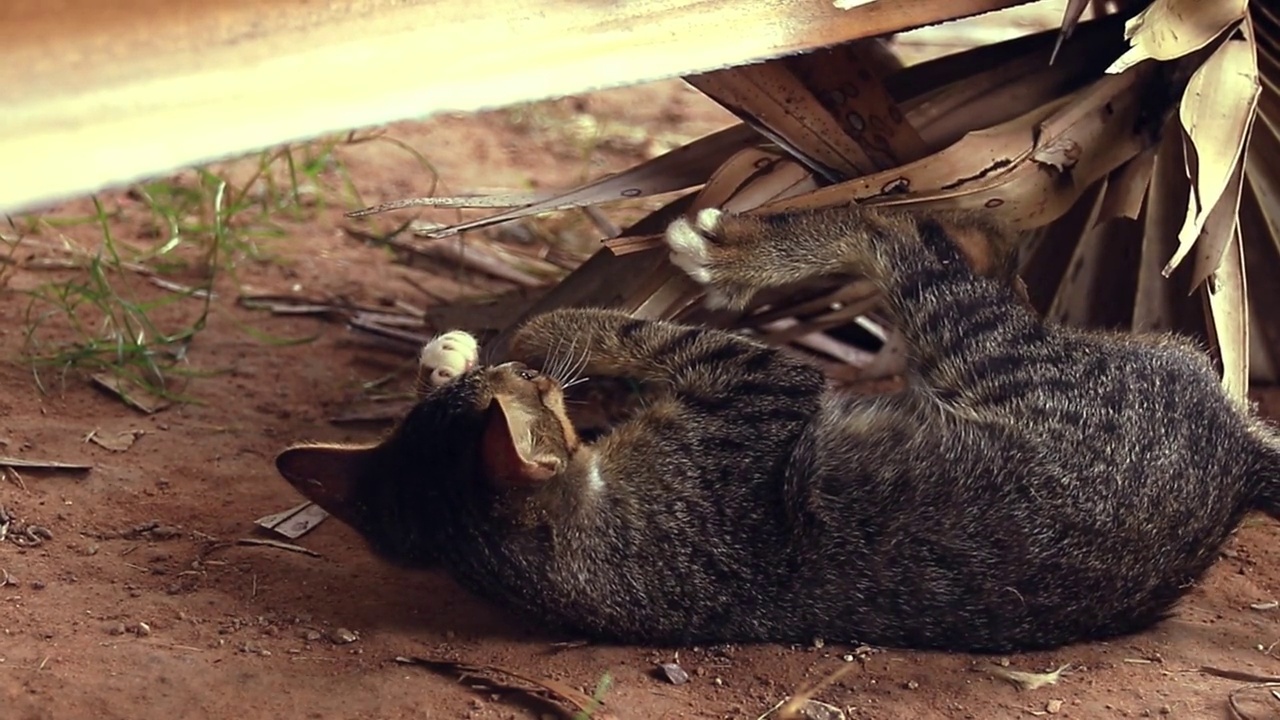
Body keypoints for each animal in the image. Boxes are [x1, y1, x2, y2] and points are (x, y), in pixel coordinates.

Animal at [277, 203, 1280, 650]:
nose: (519, 375)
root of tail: (1237, 462)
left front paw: (464, 353)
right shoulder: (765, 390)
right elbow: (653, 337)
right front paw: (534, 338)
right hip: (991, 351)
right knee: (894, 228)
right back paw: (736, 255)